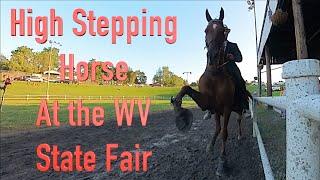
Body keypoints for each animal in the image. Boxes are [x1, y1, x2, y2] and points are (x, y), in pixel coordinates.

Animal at [171, 8, 251, 176]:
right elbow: (186, 88)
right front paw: (179, 108)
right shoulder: (210, 104)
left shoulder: (226, 108)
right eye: (206, 30)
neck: (215, 74)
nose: (213, 56)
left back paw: (240, 134)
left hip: (237, 107)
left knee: (239, 119)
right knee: (222, 125)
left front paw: (222, 162)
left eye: (222, 31)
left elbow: (224, 133)